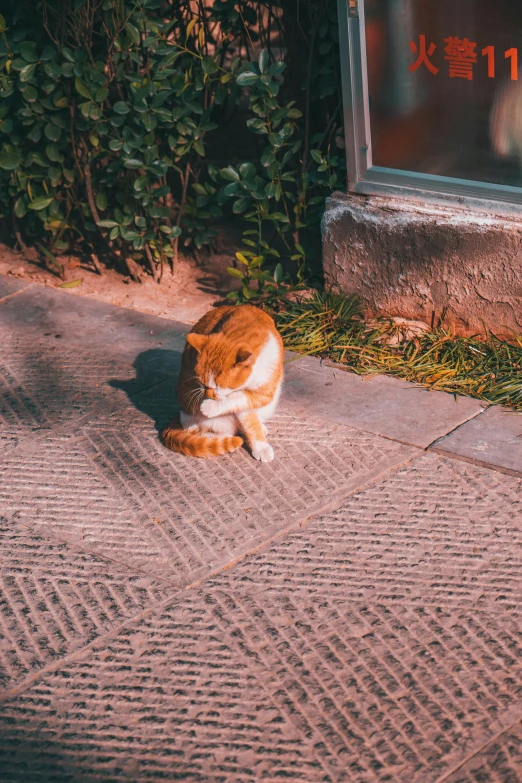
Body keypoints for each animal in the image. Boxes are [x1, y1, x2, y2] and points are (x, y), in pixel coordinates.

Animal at [165, 304, 282, 460]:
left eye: (220, 387)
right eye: (202, 383)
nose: (207, 396)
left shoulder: (265, 392)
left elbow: (240, 402)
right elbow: (246, 417)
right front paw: (260, 446)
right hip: (196, 419)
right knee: (199, 432)